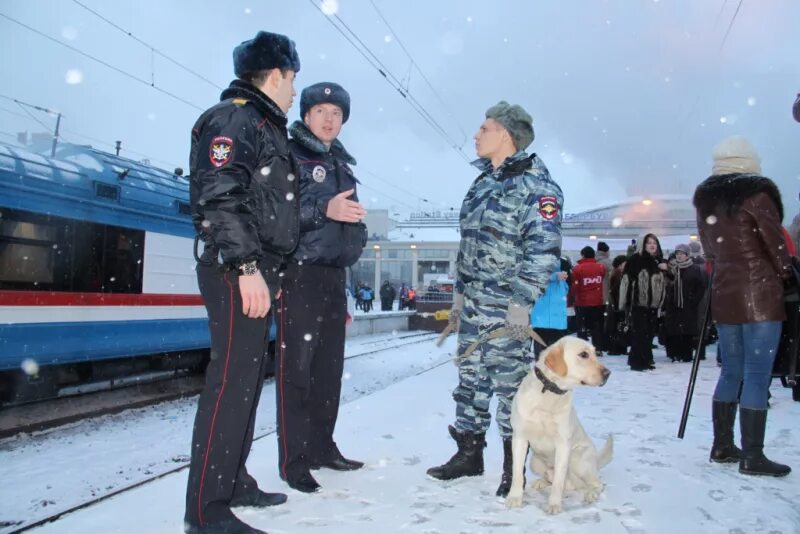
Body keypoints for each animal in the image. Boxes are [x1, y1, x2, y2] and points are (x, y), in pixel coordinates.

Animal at [506, 338, 612, 516]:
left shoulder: (563, 444)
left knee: (596, 483)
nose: (608, 374)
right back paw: (542, 482)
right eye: (583, 354)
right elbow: (517, 473)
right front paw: (514, 498)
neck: (550, 391)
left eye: (595, 353)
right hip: (535, 461)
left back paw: (591, 493)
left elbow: (558, 481)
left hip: (578, 458)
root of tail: (596, 460)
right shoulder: (519, 438)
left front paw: (554, 504)